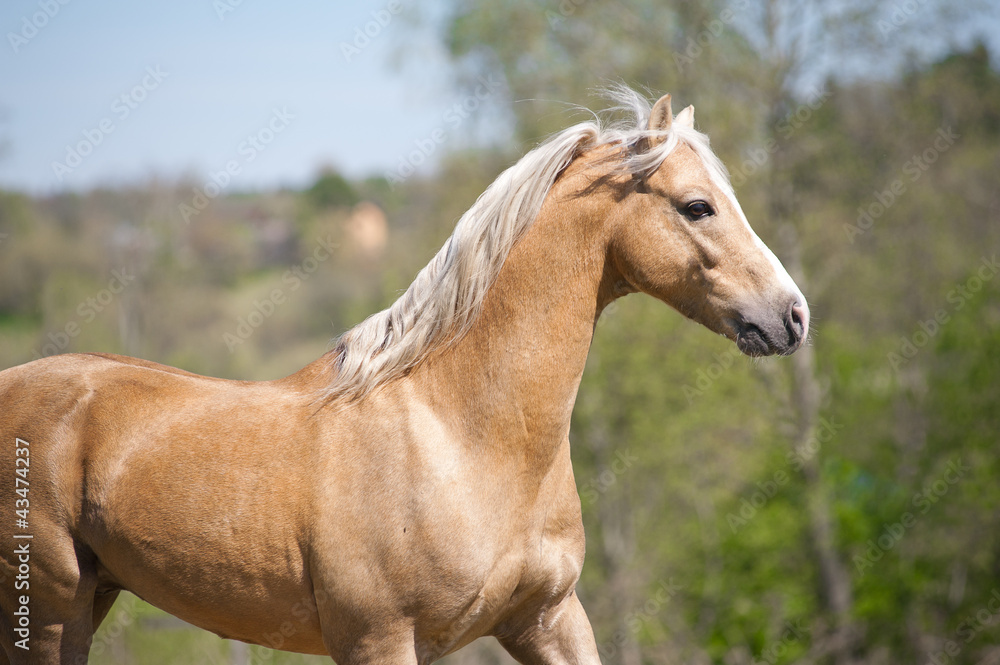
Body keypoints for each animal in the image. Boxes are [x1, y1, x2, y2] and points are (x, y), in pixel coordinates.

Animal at [0, 87, 808, 664]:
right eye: (697, 206)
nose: (792, 315)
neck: (462, 435)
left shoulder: (547, 618)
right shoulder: (380, 640)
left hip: (89, 599)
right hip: (51, 608)